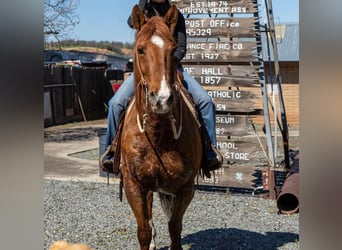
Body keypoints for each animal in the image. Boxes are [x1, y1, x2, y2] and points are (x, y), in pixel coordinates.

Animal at [120, 4, 202, 250]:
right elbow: (144, 230)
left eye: (173, 50)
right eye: (140, 50)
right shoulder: (134, 185)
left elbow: (175, 228)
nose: (162, 99)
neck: (157, 136)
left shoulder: (186, 188)